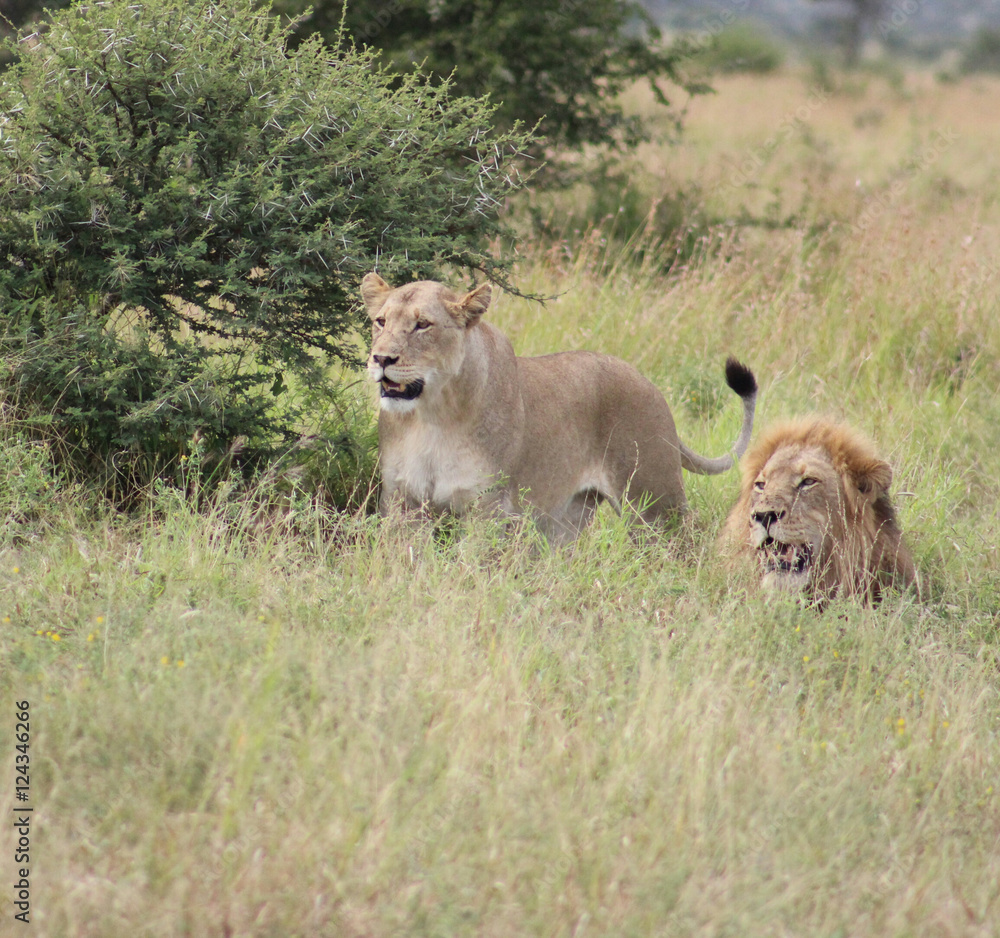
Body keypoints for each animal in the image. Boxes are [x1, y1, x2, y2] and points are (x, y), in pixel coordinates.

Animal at [362, 272, 757, 542]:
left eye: (422, 325)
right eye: (380, 321)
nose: (381, 358)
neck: (433, 416)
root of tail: (649, 384)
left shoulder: (488, 508)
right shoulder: (401, 503)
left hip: (655, 503)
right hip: (567, 518)